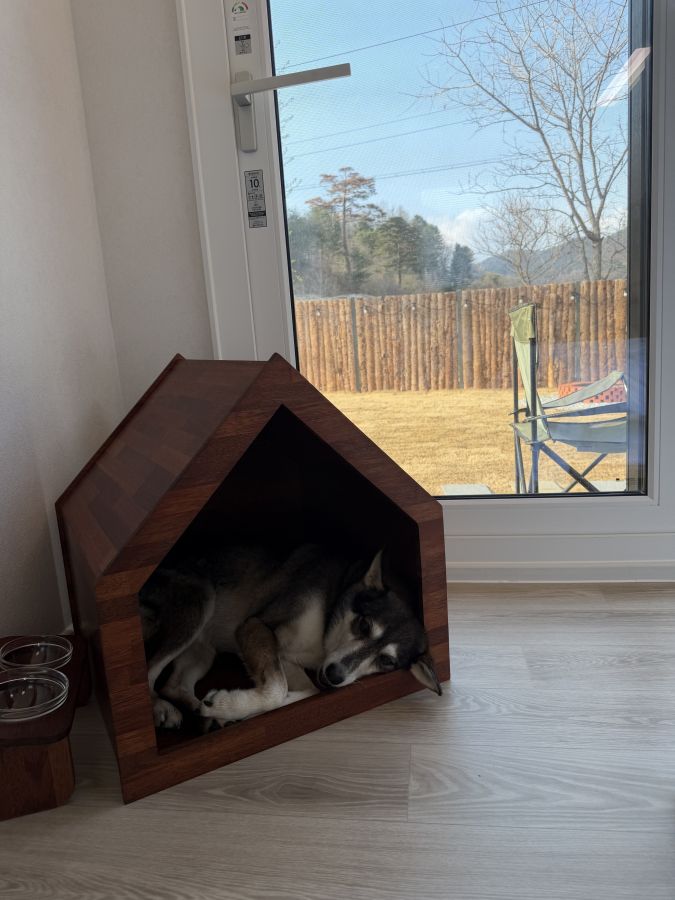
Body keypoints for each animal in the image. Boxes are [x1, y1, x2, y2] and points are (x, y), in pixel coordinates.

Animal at [139, 542, 441, 729]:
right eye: (364, 625)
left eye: (387, 662)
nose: (335, 676)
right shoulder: (256, 626)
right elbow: (277, 690)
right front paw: (227, 706)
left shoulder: (283, 657)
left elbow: (305, 692)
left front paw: (227, 708)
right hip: (198, 602)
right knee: (150, 672)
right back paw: (160, 708)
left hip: (203, 651)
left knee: (173, 685)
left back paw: (202, 712)